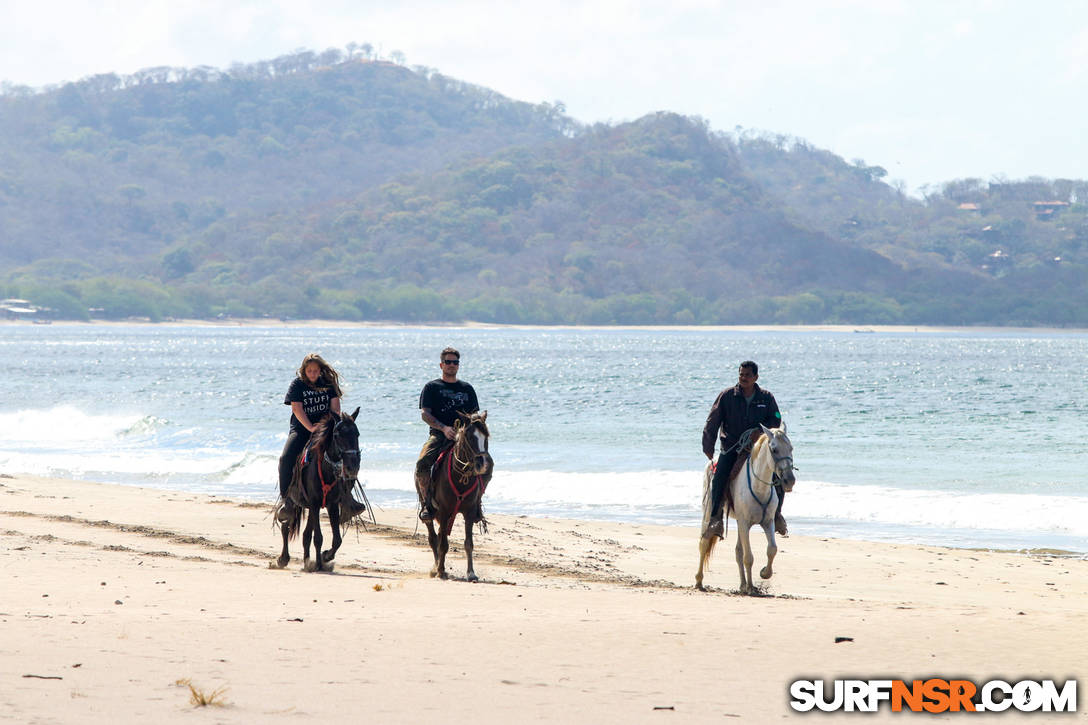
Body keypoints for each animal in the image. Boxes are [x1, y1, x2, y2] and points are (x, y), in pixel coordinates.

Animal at [272, 407, 361, 570]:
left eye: (357, 434)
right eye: (337, 435)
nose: (352, 467)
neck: (327, 469)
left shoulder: (332, 504)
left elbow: (336, 539)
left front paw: (325, 557)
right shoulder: (314, 503)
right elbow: (318, 537)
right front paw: (319, 565)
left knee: (305, 534)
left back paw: (307, 560)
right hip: (296, 504)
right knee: (286, 526)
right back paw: (284, 559)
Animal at [424, 409, 493, 579]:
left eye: (486, 437)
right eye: (469, 437)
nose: (485, 464)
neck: (461, 477)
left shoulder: (469, 512)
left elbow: (468, 543)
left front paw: (471, 573)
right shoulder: (443, 511)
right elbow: (442, 544)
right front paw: (441, 571)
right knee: (433, 537)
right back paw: (436, 567)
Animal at [700, 424, 796, 592]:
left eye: (791, 448)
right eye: (774, 449)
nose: (789, 480)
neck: (759, 488)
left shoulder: (767, 522)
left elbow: (772, 549)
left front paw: (764, 573)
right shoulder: (745, 523)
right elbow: (748, 557)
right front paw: (751, 587)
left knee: (738, 551)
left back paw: (742, 584)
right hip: (710, 511)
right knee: (704, 542)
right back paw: (699, 581)